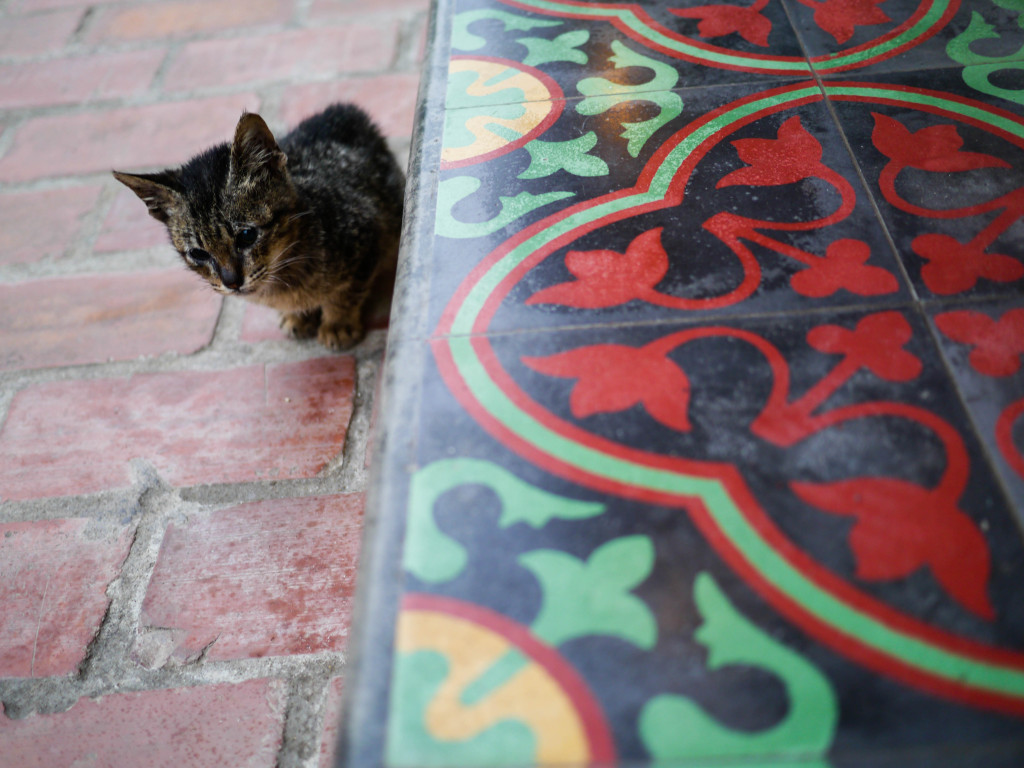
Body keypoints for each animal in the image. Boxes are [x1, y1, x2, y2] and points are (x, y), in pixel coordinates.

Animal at [112, 103, 399, 350]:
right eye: (198, 254)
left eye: (247, 235)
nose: (231, 282)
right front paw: (297, 316)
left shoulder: (368, 234)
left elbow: (346, 293)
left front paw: (337, 324)